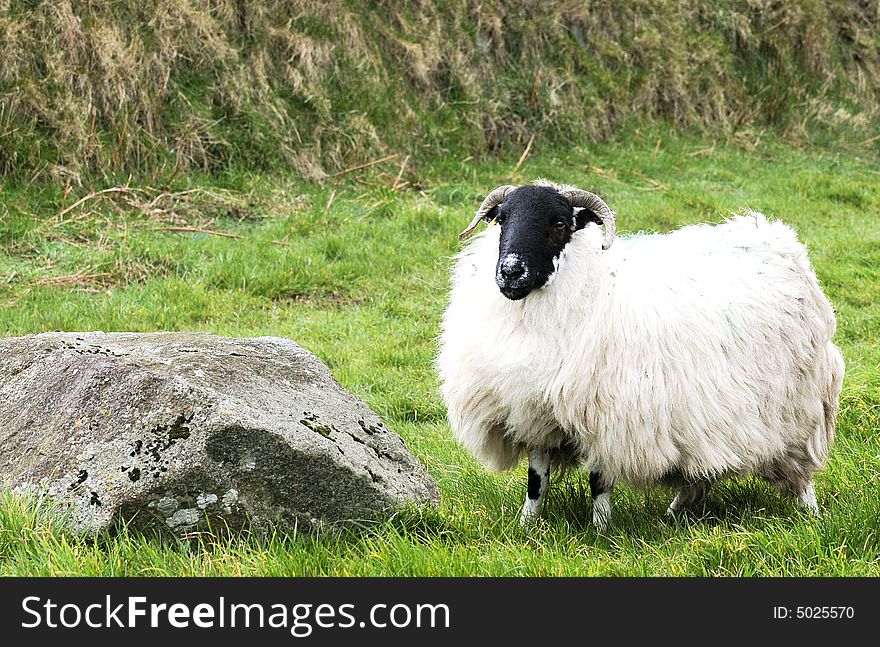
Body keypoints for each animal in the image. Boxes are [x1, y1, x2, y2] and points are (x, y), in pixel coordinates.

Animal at [440, 180, 844, 528]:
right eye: (502, 218)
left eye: (559, 223)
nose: (511, 272)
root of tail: (775, 238)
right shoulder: (534, 417)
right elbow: (537, 481)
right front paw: (526, 527)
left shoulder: (608, 415)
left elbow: (599, 482)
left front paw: (601, 530)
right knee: (701, 474)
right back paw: (675, 514)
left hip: (795, 409)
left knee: (800, 468)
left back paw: (810, 515)